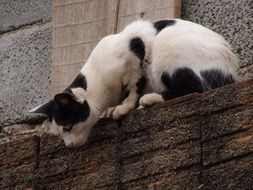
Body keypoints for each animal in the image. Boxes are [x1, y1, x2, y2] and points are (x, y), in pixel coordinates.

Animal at [30, 18, 238, 148]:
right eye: (60, 134)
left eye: (68, 127)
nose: (69, 145)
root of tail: (232, 72)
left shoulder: (135, 51)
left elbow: (134, 86)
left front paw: (124, 107)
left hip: (166, 45)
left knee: (196, 87)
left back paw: (148, 99)